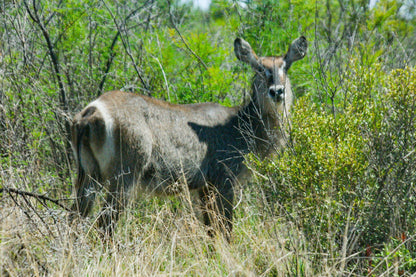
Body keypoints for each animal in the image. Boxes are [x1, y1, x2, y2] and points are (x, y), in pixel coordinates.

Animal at [70, 36, 308, 238]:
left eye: (285, 66)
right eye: (259, 68)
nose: (277, 91)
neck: (240, 125)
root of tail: (91, 112)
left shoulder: (204, 187)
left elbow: (211, 231)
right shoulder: (224, 180)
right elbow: (226, 229)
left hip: (88, 175)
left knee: (74, 219)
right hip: (124, 176)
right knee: (105, 226)